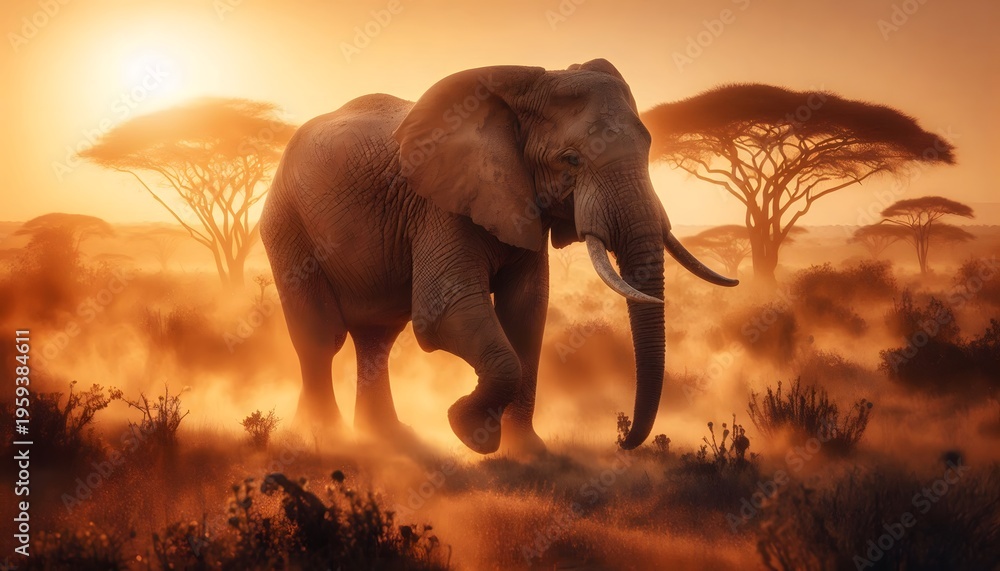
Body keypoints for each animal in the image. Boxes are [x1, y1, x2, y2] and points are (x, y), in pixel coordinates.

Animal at [260, 58, 737, 457]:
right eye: (571, 159)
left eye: (648, 147)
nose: (622, 441)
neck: (526, 85)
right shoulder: (440, 205)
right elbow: (444, 312)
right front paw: (469, 432)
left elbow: (527, 312)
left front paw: (526, 451)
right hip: (287, 225)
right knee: (322, 337)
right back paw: (326, 437)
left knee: (376, 337)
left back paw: (385, 438)